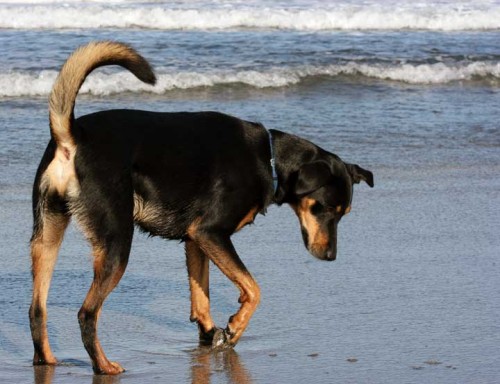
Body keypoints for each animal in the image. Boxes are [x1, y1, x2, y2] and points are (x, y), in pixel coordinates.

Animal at [27, 41, 372, 376]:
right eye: (323, 208)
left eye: (343, 214)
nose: (331, 257)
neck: (269, 159)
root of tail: (72, 136)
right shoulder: (211, 233)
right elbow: (254, 289)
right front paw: (235, 328)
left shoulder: (195, 239)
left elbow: (201, 295)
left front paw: (211, 334)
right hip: (116, 243)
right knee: (87, 313)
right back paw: (103, 365)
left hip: (47, 235)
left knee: (37, 309)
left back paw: (47, 360)